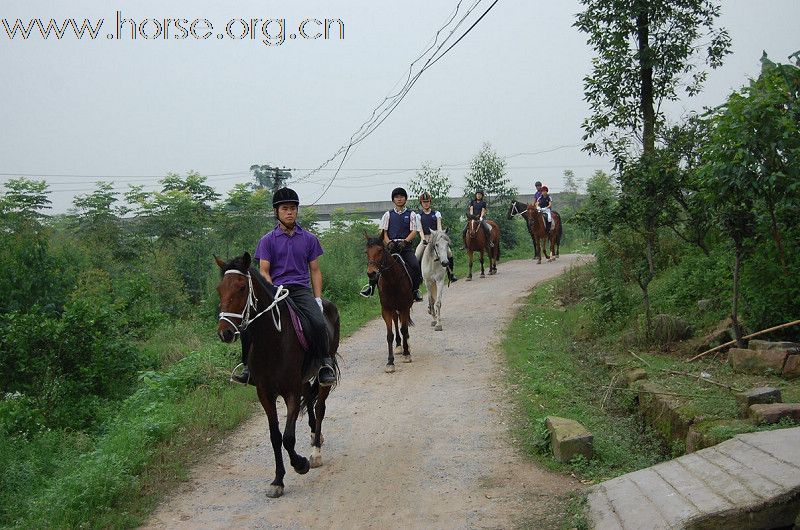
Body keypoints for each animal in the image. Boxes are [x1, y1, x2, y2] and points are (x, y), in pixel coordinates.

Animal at [214, 252, 340, 496]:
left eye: (241, 287)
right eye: (219, 289)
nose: (225, 332)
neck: (272, 340)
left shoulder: (290, 391)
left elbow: (288, 438)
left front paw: (300, 464)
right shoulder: (265, 393)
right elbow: (275, 437)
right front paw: (277, 481)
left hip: (322, 377)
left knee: (320, 407)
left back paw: (315, 453)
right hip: (303, 380)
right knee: (310, 401)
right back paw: (314, 435)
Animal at [362, 231, 412, 372]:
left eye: (380, 250)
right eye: (366, 252)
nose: (371, 273)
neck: (392, 281)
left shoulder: (404, 307)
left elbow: (404, 329)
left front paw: (407, 354)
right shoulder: (386, 310)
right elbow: (389, 335)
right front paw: (390, 362)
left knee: (403, 326)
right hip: (394, 309)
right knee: (396, 321)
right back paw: (399, 345)